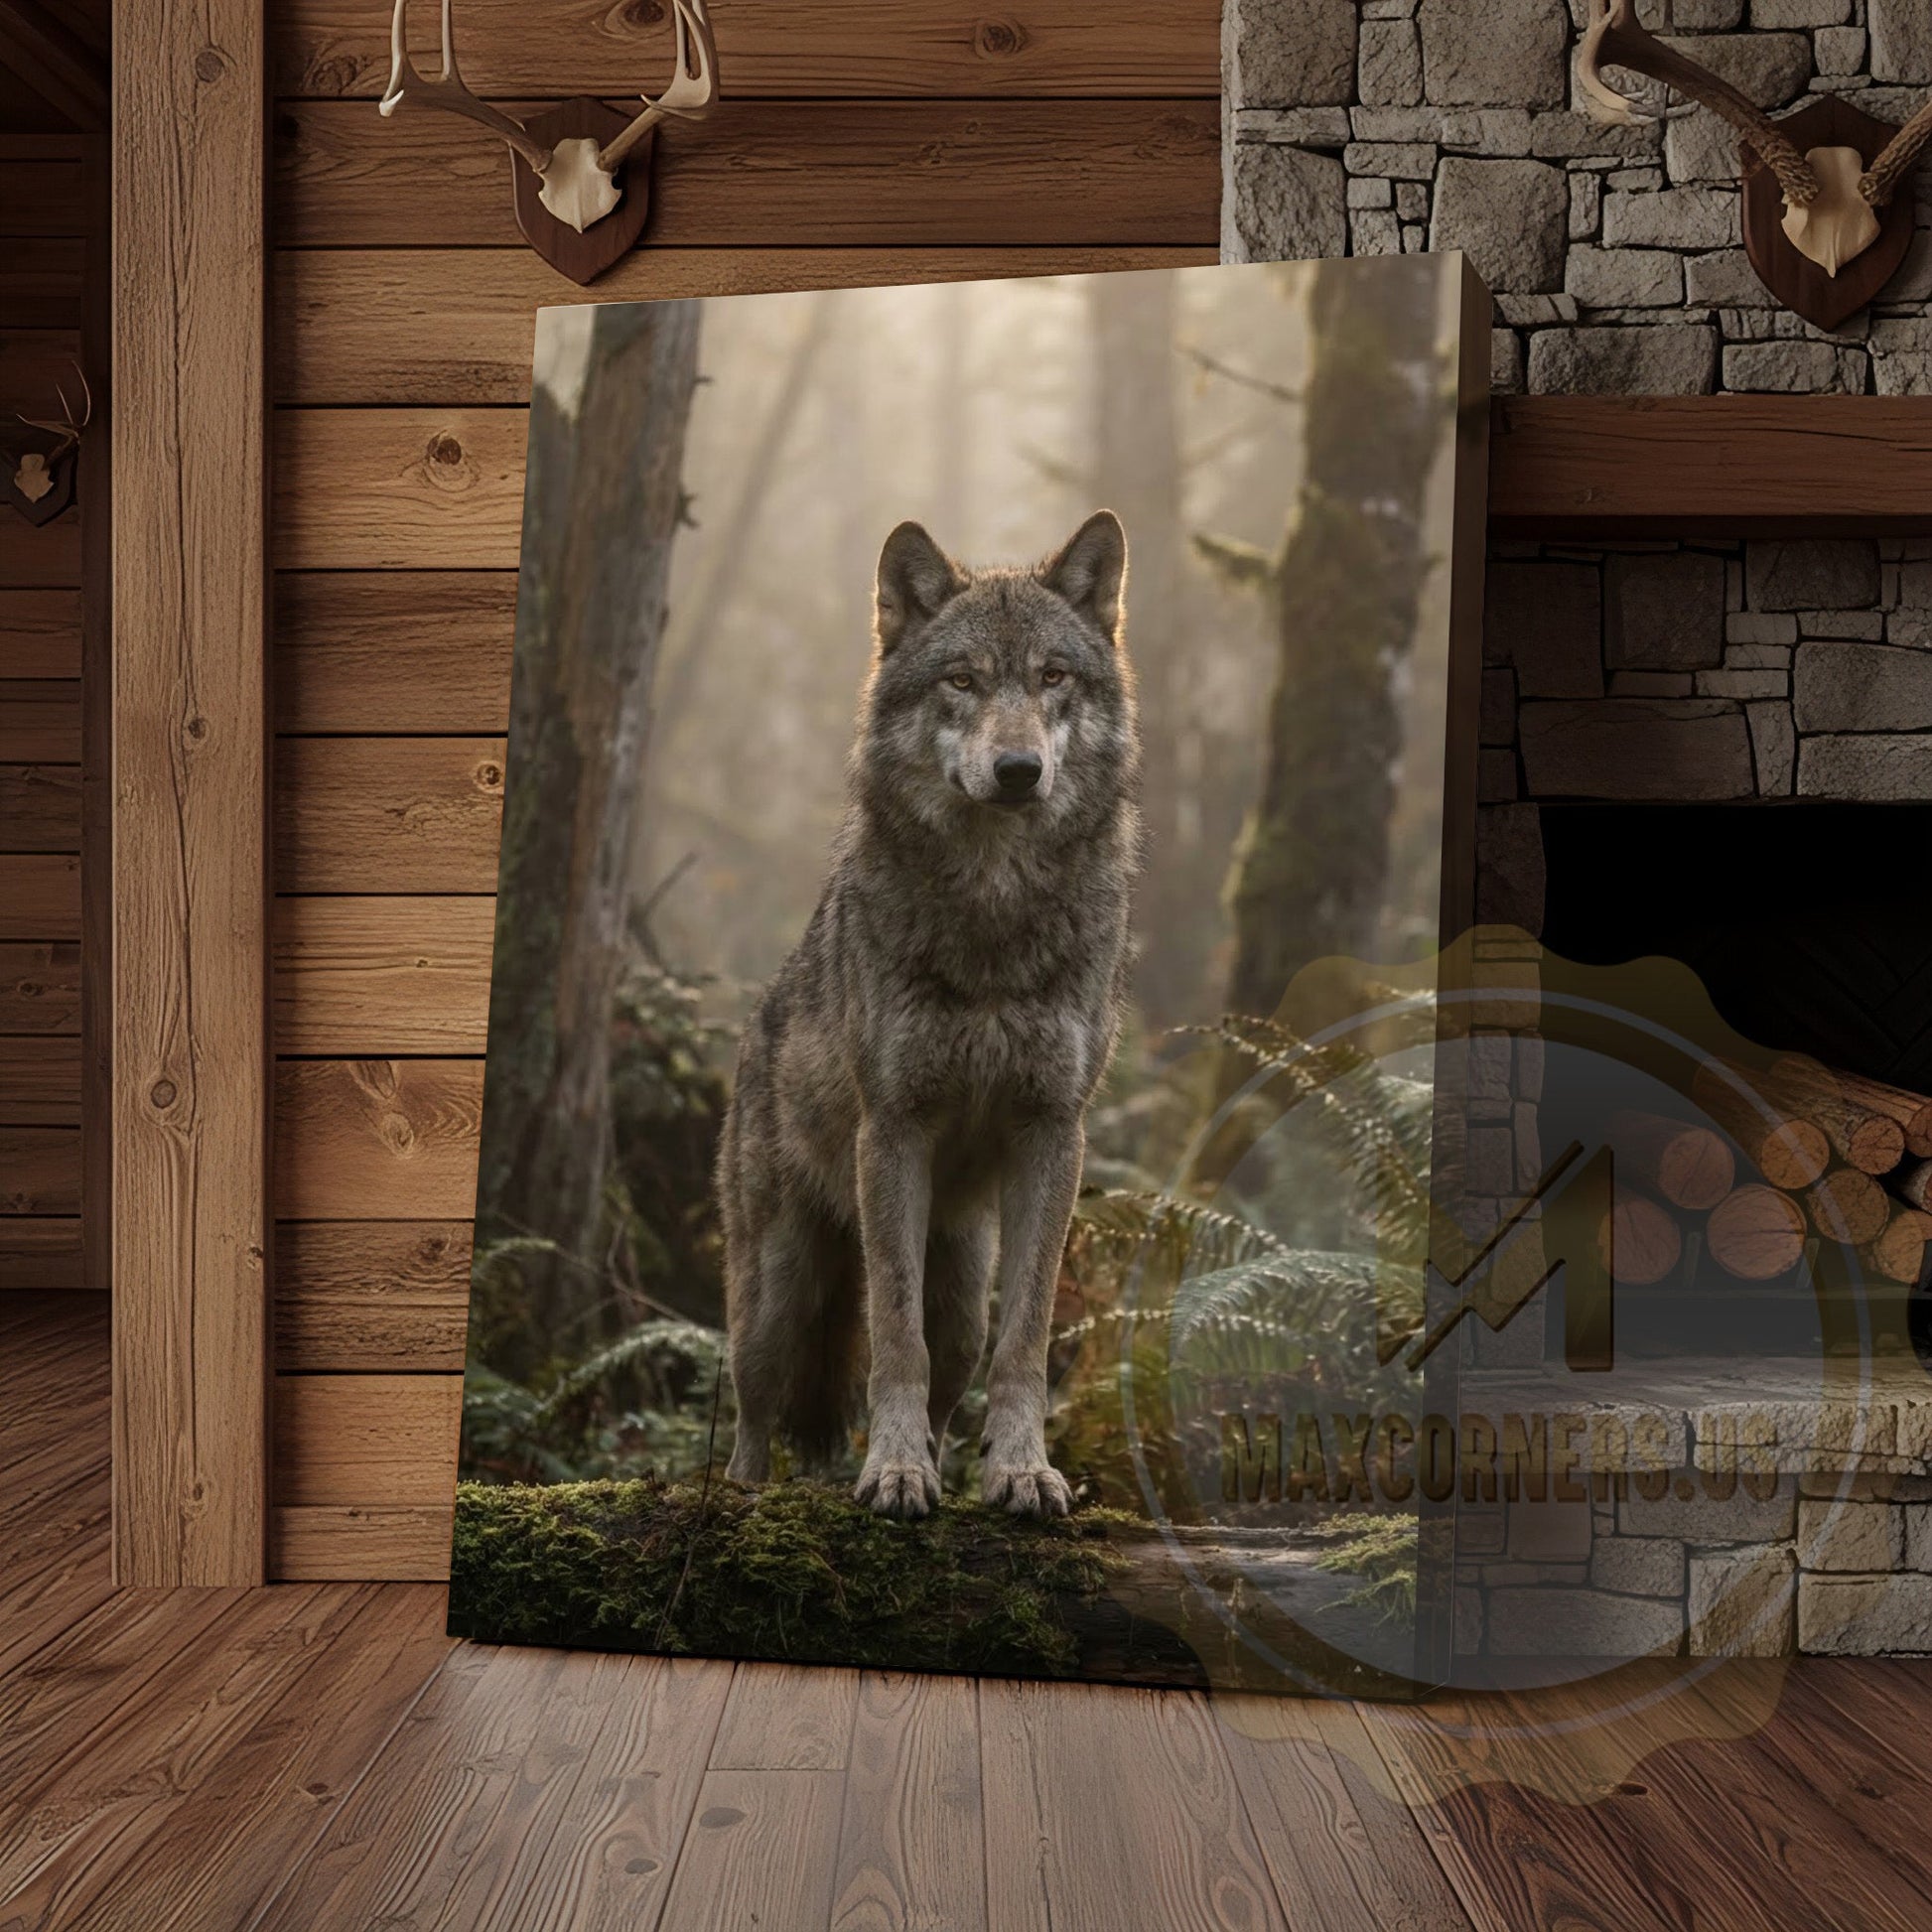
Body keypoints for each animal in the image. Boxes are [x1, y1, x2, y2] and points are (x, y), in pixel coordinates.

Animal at [718, 510, 1142, 1519]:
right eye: (962, 681)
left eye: (1052, 678)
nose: (1019, 770)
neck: (993, 908)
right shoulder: (894, 1130)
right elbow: (892, 1334)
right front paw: (894, 1472)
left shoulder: (1053, 1133)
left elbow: (1023, 1341)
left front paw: (1021, 1471)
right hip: (779, 1297)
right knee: (753, 1408)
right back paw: (747, 1496)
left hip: (960, 1294)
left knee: (952, 1375)